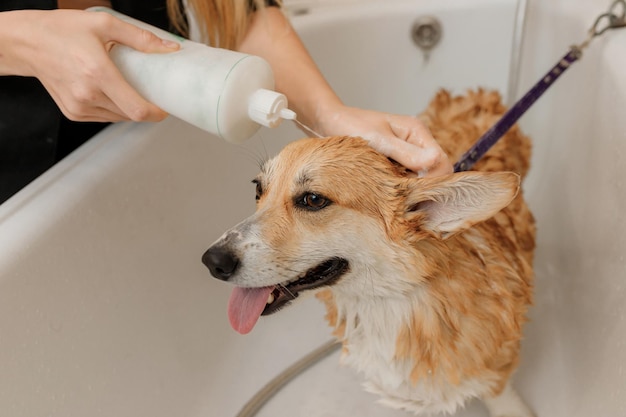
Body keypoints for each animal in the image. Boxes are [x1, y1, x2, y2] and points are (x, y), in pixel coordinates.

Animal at [202, 91, 532, 416]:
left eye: (313, 199)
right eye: (258, 189)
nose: (212, 262)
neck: (387, 305)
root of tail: (479, 94)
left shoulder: (497, 377)